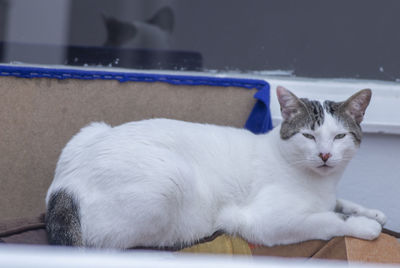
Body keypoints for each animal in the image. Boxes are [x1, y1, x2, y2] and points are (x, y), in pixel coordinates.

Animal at [45, 87, 386, 248]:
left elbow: (339, 203)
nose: (325, 155)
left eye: (339, 136)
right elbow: (328, 219)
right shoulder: (267, 221)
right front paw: (364, 226)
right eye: (309, 136)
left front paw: (372, 213)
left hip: (90, 129)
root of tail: (64, 187)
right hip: (170, 181)